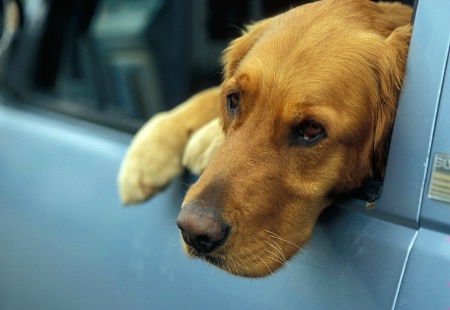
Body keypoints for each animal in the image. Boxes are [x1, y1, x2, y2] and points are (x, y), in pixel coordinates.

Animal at [118, 0, 414, 276]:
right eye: (234, 100)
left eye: (311, 130)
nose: (194, 232)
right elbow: (207, 94)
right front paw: (148, 152)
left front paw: (208, 139)